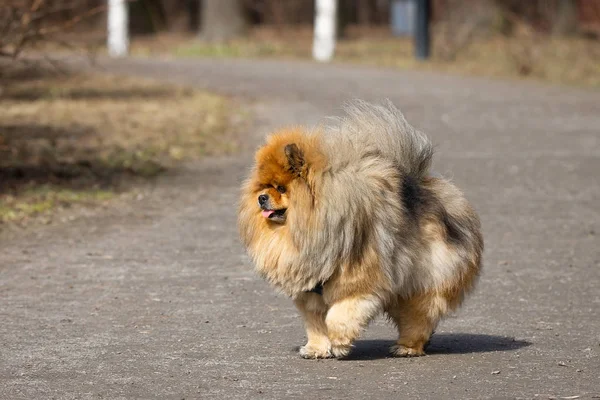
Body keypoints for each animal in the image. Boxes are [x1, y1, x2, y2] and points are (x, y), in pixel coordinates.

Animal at [238, 100, 482, 360]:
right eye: (263, 187)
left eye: (280, 188)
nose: (262, 198)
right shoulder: (311, 293)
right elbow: (315, 324)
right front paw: (316, 349)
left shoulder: (359, 283)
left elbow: (338, 316)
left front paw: (339, 342)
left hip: (422, 281)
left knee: (419, 317)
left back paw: (407, 347)